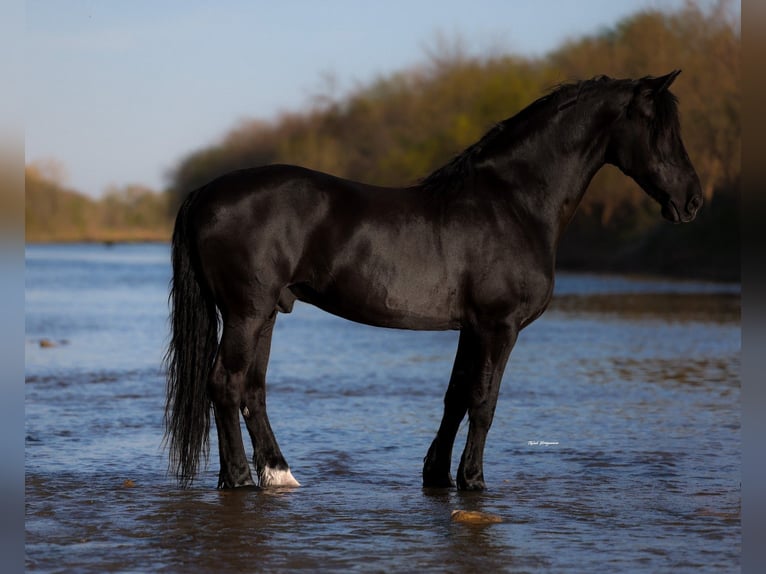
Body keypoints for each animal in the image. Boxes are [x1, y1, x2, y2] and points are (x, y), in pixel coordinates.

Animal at [165, 71, 703, 490]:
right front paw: (474, 480)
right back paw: (238, 479)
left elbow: (456, 396)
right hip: (246, 312)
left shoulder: (472, 327)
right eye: (658, 128)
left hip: (267, 312)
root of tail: (206, 192)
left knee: (251, 389)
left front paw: (438, 475)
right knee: (225, 385)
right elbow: (483, 402)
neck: (513, 202)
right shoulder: (498, 326)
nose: (693, 200)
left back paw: (277, 474)